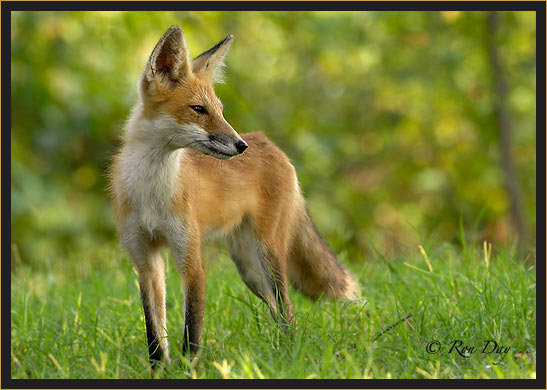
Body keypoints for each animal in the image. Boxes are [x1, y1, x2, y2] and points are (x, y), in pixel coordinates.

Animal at [110, 25, 360, 368]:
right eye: (199, 109)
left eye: (220, 111)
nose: (241, 145)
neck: (151, 193)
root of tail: (268, 142)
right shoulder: (144, 258)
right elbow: (155, 336)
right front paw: (160, 371)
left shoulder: (191, 258)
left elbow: (192, 332)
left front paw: (190, 371)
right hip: (249, 268)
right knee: (275, 309)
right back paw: (278, 351)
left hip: (268, 255)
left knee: (288, 310)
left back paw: (289, 353)